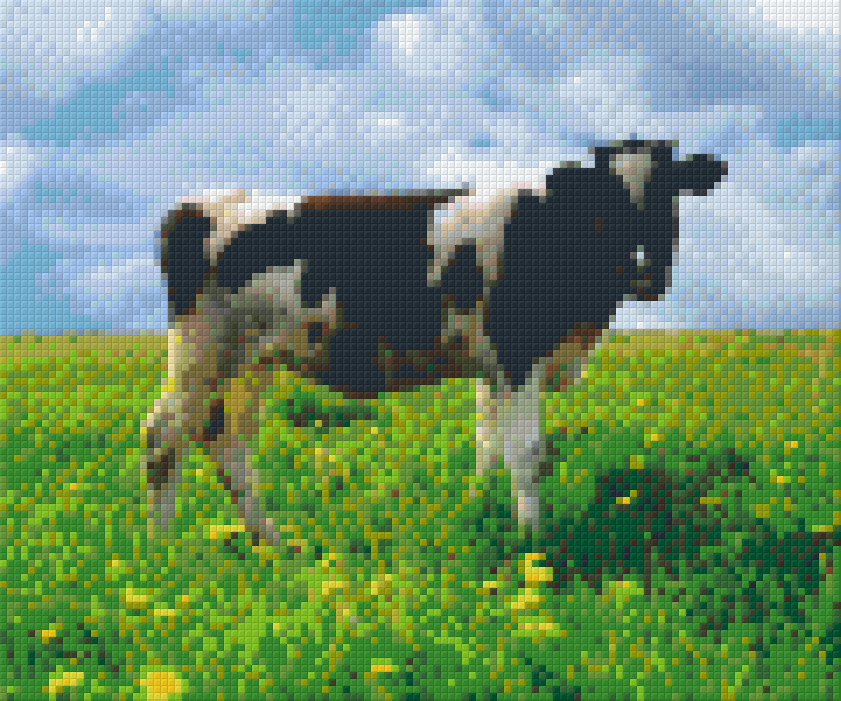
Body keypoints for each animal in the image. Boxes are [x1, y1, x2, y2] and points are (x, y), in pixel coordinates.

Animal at [144, 139, 727, 545]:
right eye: (606, 201)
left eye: (670, 192)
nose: (646, 273)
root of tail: (196, 205)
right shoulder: (518, 354)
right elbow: (527, 452)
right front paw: (534, 541)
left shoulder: (495, 367)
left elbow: (489, 442)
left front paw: (479, 511)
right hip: (202, 352)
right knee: (164, 435)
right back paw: (163, 551)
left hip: (251, 362)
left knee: (227, 444)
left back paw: (277, 547)